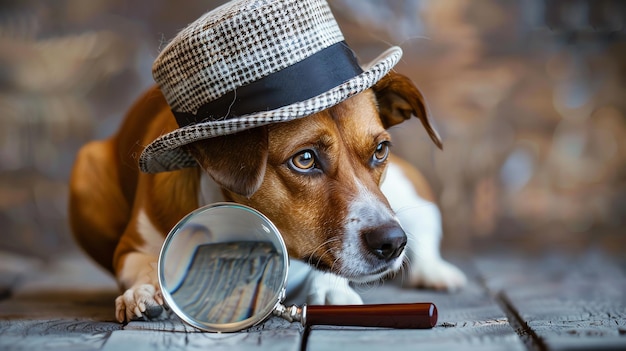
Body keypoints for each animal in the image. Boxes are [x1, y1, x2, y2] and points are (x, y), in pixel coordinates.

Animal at [70, 0, 466, 324]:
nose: (391, 242)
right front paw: (143, 291)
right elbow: (141, 264)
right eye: (304, 159)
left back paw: (435, 271)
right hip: (85, 171)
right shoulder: (132, 247)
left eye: (380, 150)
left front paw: (331, 288)